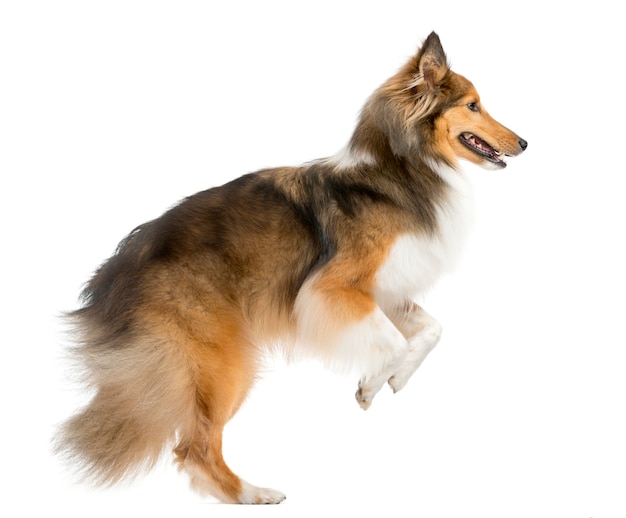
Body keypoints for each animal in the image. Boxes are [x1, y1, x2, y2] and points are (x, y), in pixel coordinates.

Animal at [56, 31, 528, 504]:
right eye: (473, 105)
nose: (525, 143)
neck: (401, 169)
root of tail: (118, 267)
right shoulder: (331, 289)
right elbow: (393, 342)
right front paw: (370, 384)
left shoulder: (380, 290)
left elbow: (432, 330)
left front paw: (397, 379)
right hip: (224, 362)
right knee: (196, 446)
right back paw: (252, 494)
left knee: (189, 446)